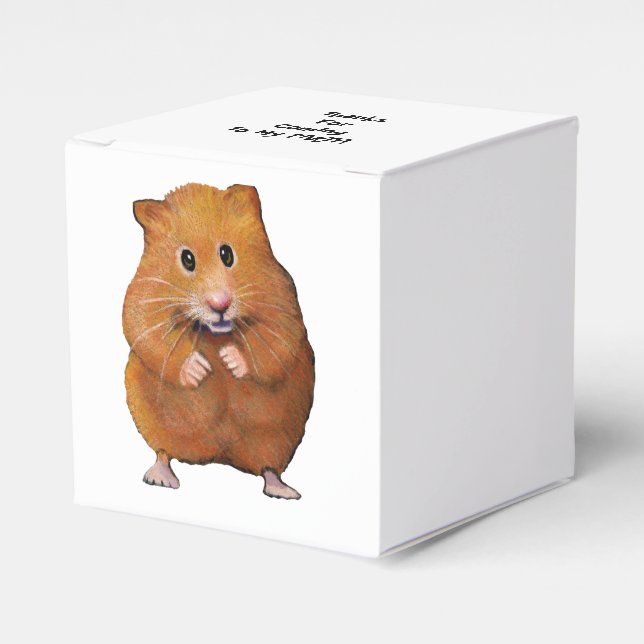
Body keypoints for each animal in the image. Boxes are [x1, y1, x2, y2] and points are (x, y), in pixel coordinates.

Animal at [122, 183, 315, 499]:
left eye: (227, 254)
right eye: (187, 259)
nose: (220, 304)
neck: (213, 333)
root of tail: (218, 455)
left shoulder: (282, 300)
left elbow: (275, 342)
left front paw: (228, 359)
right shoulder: (142, 297)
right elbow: (147, 331)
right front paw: (201, 369)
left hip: (276, 438)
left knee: (268, 467)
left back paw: (284, 491)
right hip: (154, 422)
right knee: (163, 452)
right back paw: (160, 477)